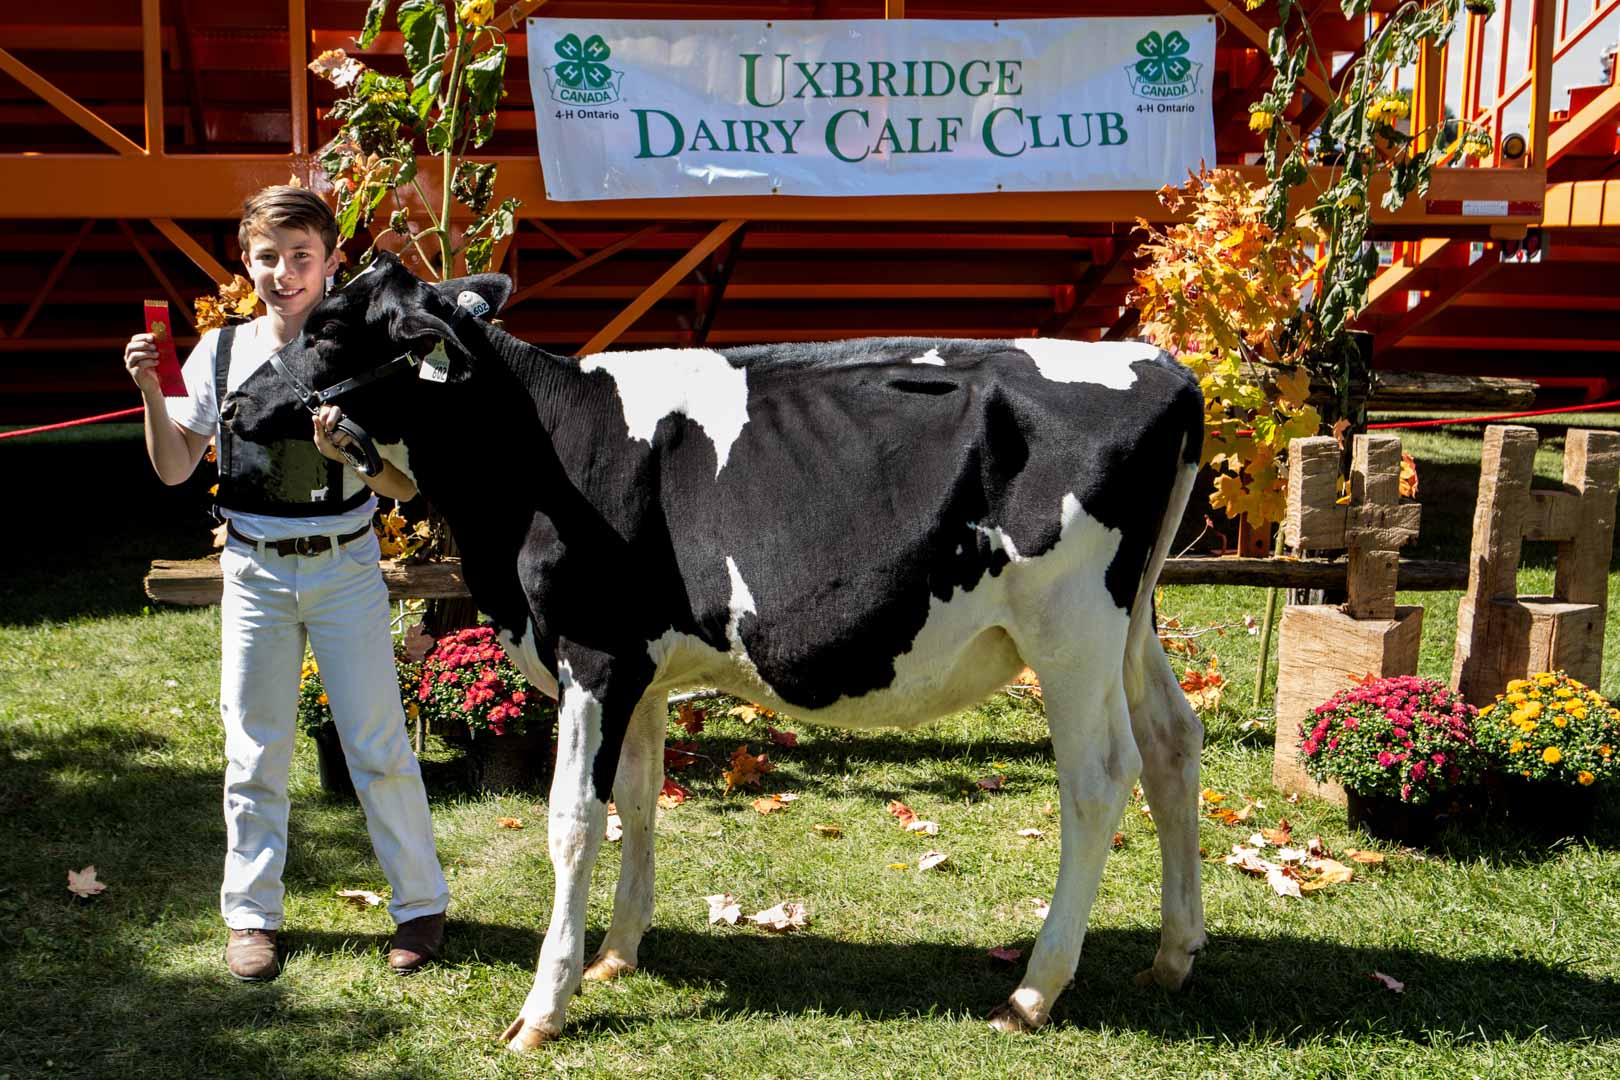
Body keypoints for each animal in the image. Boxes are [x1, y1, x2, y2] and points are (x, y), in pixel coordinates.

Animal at [221, 251, 1208, 1048]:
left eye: (328, 326)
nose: (232, 402)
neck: (532, 455)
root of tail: (1165, 366)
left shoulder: (593, 654)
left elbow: (572, 820)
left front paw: (546, 1006)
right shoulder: (644, 669)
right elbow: (638, 799)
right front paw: (615, 953)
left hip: (1071, 629)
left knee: (1100, 778)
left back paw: (1034, 991)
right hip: (1131, 624)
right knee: (1173, 741)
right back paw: (1173, 952)